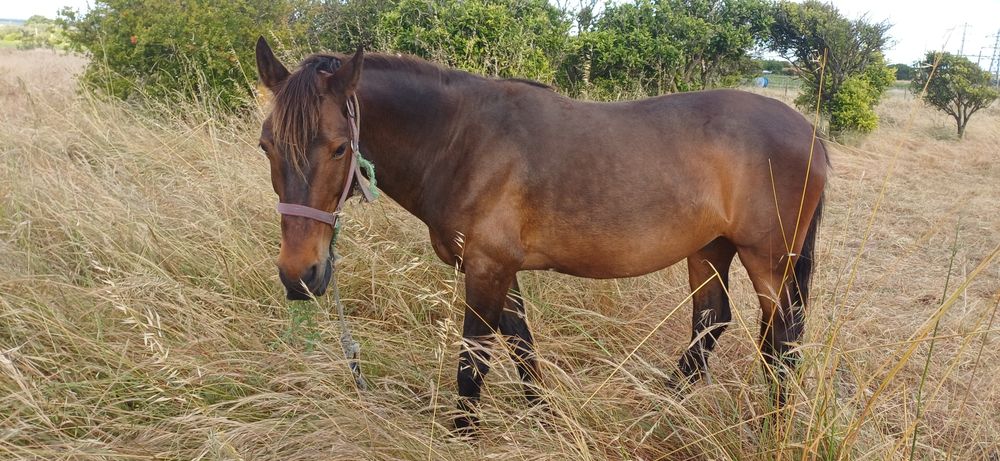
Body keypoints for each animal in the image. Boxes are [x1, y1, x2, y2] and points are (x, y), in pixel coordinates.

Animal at [253, 37, 828, 430]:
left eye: (339, 148)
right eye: (265, 145)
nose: (299, 274)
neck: (461, 140)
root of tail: (811, 133)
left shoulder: (486, 268)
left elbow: (473, 364)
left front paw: (463, 434)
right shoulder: (499, 270)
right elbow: (522, 351)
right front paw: (545, 420)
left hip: (767, 261)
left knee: (780, 341)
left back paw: (771, 428)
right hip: (710, 249)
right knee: (711, 323)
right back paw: (657, 411)